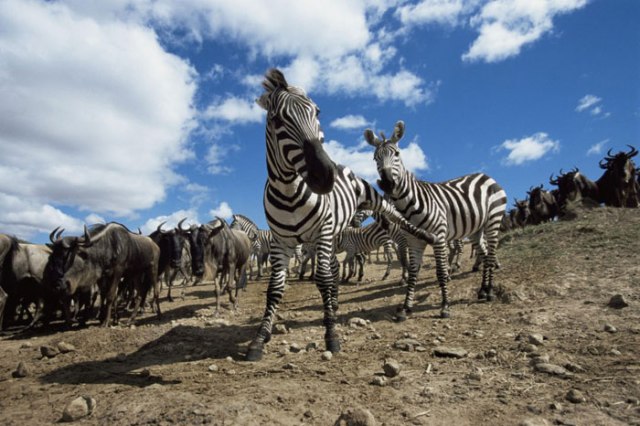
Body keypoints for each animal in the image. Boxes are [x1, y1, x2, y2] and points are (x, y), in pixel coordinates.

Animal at [246, 68, 436, 362]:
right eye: (277, 119)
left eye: (317, 111)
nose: (325, 175)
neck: (289, 190)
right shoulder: (281, 241)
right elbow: (276, 288)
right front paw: (259, 338)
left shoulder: (321, 232)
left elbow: (323, 279)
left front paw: (331, 335)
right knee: (334, 268)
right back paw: (333, 305)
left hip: (365, 202)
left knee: (393, 214)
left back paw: (423, 233)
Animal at [364, 120, 510, 320]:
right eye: (374, 158)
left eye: (397, 154)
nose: (387, 184)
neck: (411, 204)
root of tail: (486, 176)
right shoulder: (414, 241)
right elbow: (413, 272)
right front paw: (406, 307)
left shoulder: (439, 237)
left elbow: (440, 272)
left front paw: (445, 306)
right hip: (475, 229)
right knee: (485, 252)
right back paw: (482, 289)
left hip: (493, 220)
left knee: (491, 253)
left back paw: (489, 292)